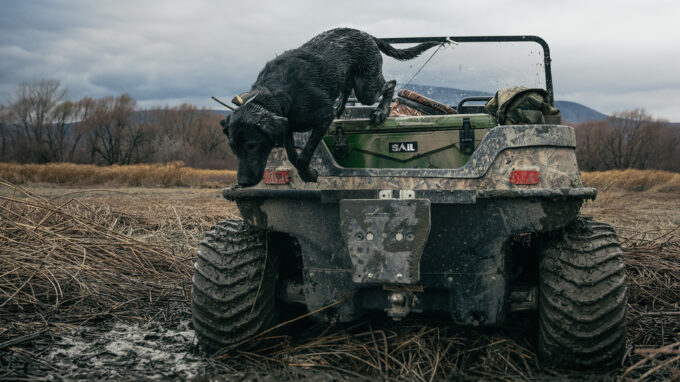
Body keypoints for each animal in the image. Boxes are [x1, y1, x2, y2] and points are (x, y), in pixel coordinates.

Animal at [220, 28, 438, 187]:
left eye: (252, 145)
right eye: (233, 148)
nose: (242, 183)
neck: (275, 93)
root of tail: (367, 35)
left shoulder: (323, 116)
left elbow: (304, 155)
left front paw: (309, 174)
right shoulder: (286, 125)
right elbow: (292, 155)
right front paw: (306, 171)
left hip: (365, 88)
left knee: (390, 84)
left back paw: (380, 112)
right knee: (347, 88)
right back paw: (341, 107)